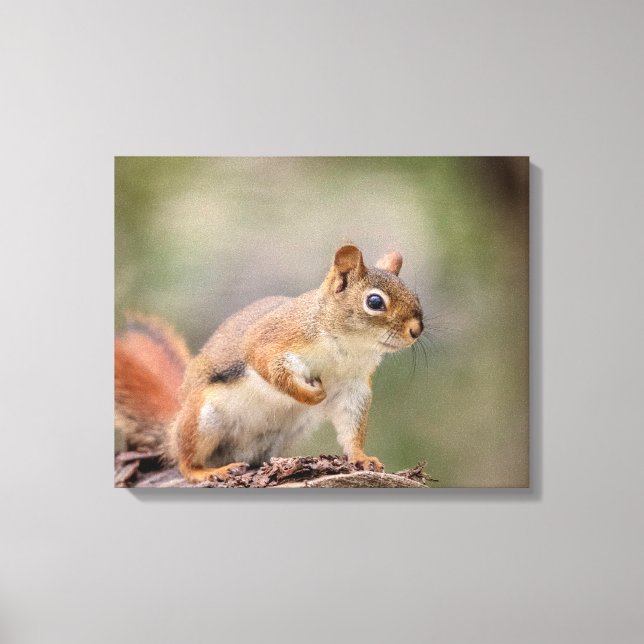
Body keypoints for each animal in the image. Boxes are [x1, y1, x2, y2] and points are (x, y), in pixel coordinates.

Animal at [114, 244, 424, 483]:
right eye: (375, 302)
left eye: (415, 295)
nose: (416, 330)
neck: (348, 346)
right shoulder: (272, 339)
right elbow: (271, 369)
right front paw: (311, 395)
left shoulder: (353, 386)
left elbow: (351, 425)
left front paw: (361, 458)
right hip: (202, 419)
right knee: (185, 460)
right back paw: (206, 471)